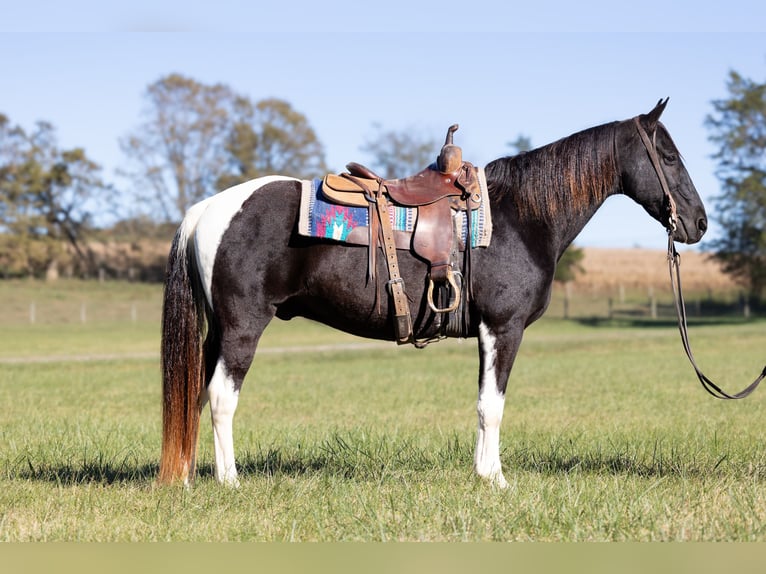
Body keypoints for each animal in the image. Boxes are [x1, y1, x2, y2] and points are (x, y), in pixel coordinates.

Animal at [158, 99, 708, 487]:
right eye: (668, 156)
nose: (699, 223)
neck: (521, 216)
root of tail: (206, 210)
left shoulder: (487, 332)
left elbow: (484, 403)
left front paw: (484, 474)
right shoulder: (502, 329)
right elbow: (493, 406)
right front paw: (496, 480)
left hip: (217, 333)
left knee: (194, 396)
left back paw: (186, 477)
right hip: (243, 328)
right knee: (221, 397)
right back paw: (230, 481)